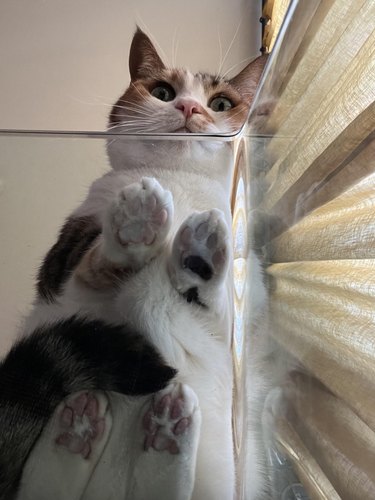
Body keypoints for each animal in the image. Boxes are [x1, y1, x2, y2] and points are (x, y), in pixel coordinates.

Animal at [1, 28, 268, 500]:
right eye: (163, 92)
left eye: (221, 103)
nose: (190, 107)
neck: (178, 182)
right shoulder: (63, 264)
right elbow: (92, 262)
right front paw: (137, 223)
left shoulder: (236, 315)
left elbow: (219, 304)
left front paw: (198, 256)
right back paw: (81, 430)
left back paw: (163, 433)